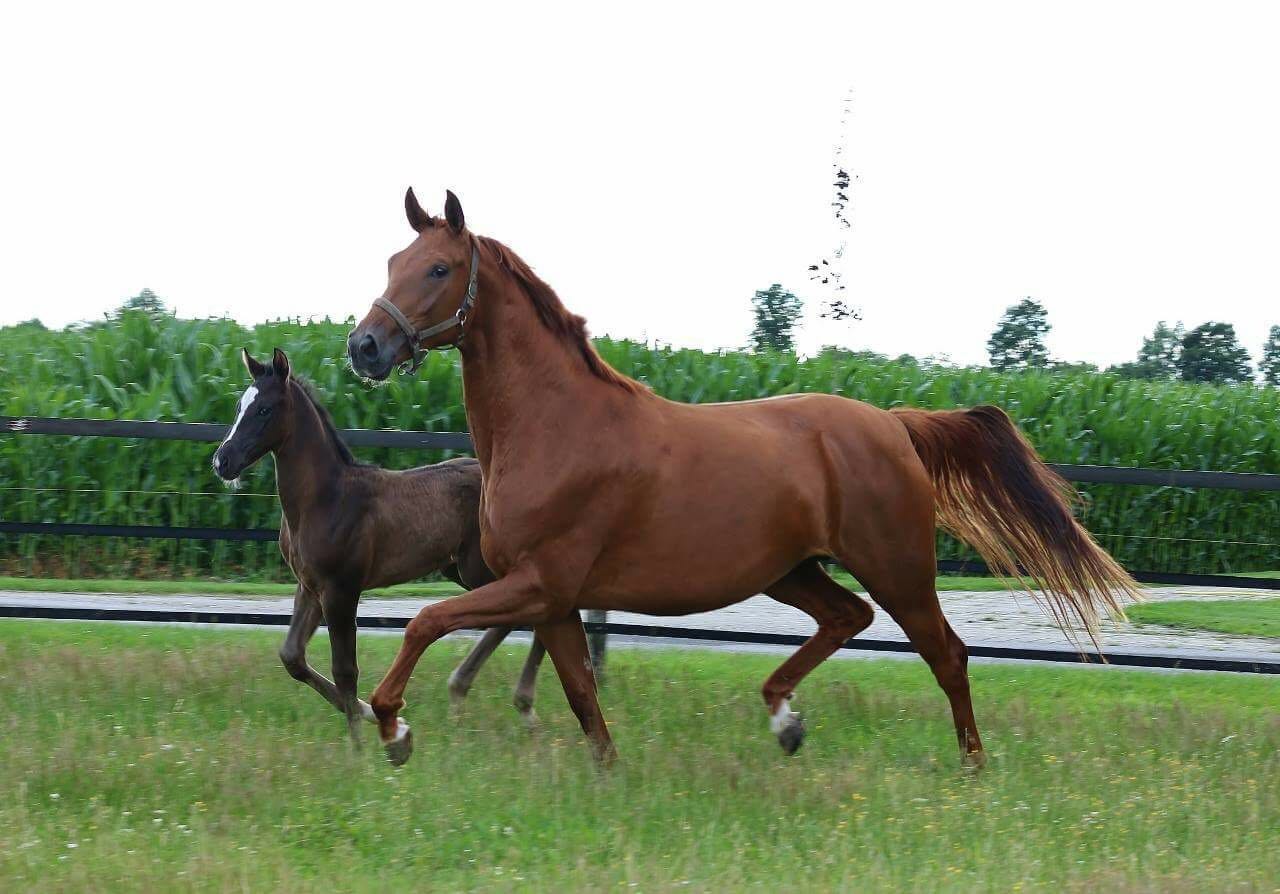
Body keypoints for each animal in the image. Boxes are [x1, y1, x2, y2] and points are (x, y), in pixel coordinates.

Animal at [343, 188, 1141, 768]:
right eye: (390, 261)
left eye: (439, 269)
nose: (364, 347)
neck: (555, 427)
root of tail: (894, 425)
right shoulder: (555, 601)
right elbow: (581, 697)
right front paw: (609, 776)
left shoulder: (539, 583)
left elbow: (426, 622)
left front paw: (395, 731)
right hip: (791, 570)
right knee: (847, 618)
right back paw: (785, 720)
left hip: (898, 567)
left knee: (945, 652)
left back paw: (972, 767)